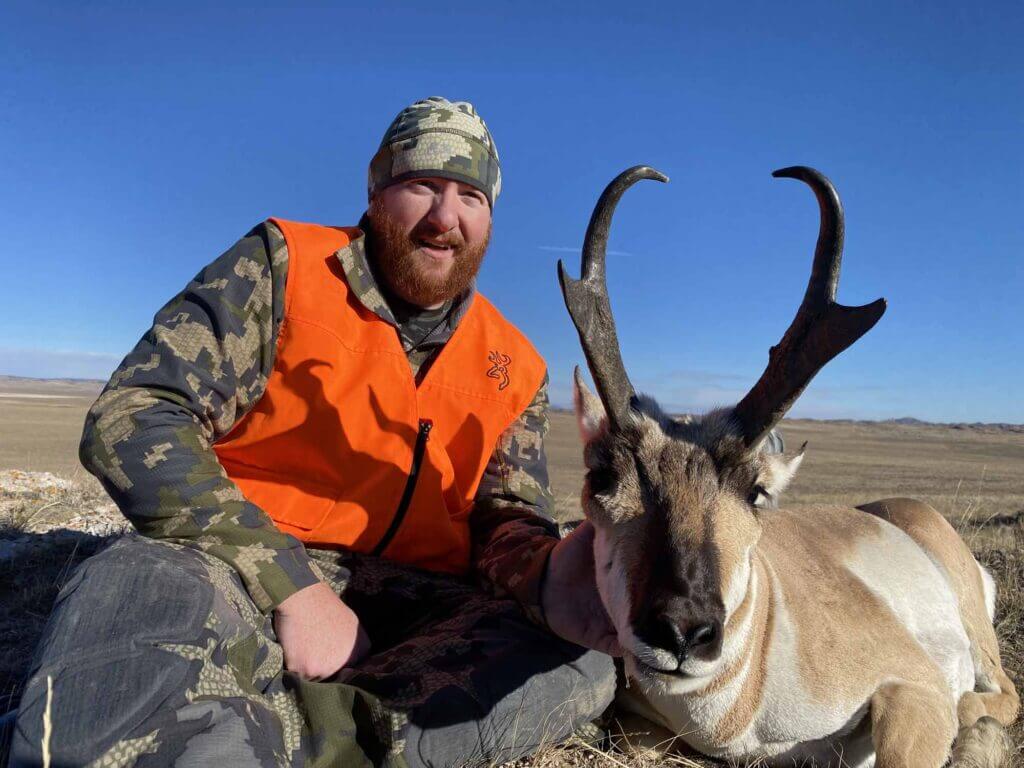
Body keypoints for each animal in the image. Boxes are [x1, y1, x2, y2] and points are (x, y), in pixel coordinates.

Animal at [558, 166, 1019, 767]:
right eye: (603, 477)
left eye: (756, 491)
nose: (681, 631)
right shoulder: (640, 728)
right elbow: (637, 743)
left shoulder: (915, 686)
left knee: (1002, 694)